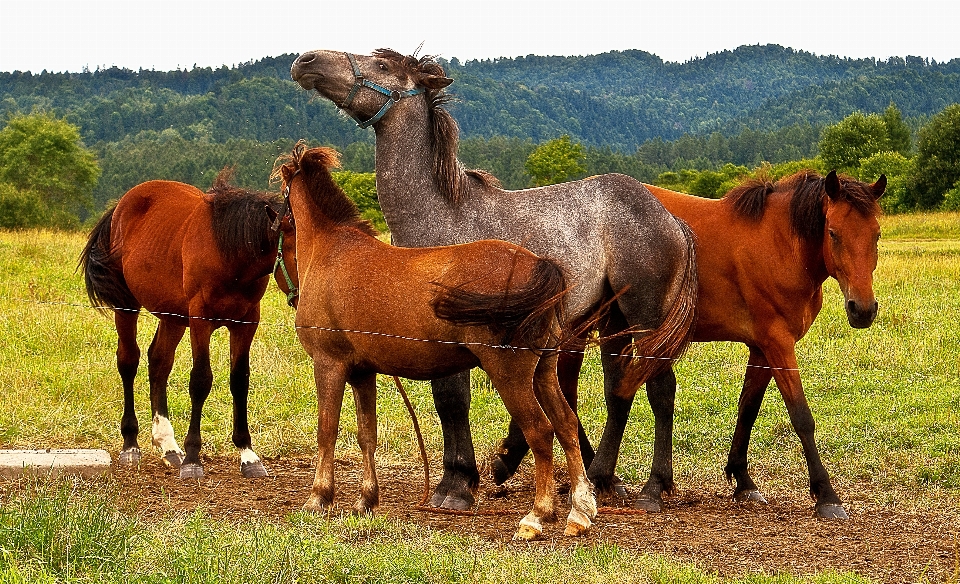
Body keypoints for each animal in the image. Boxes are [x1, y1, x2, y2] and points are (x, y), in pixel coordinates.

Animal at [78, 169, 296, 480]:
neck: (228, 251)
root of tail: (121, 205)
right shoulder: (200, 320)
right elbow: (201, 380)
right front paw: (193, 458)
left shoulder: (246, 322)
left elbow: (239, 380)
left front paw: (248, 455)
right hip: (127, 305)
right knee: (128, 361)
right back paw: (131, 445)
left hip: (173, 317)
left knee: (159, 362)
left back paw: (168, 445)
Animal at [274, 144, 596, 540]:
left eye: (279, 214)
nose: (291, 294)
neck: (332, 250)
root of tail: (540, 264)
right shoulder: (363, 372)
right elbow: (367, 434)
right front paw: (366, 499)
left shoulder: (329, 364)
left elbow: (327, 430)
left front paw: (319, 497)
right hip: (544, 371)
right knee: (566, 424)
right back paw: (580, 512)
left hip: (511, 376)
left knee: (540, 431)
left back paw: (536, 516)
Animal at [290, 48, 696, 508]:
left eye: (382, 66)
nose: (306, 61)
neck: (442, 213)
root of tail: (669, 217)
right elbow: (449, 401)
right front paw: (465, 476)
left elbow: (452, 399)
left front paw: (455, 484)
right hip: (613, 322)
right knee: (619, 390)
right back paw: (600, 478)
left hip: (645, 318)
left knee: (660, 389)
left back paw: (653, 487)